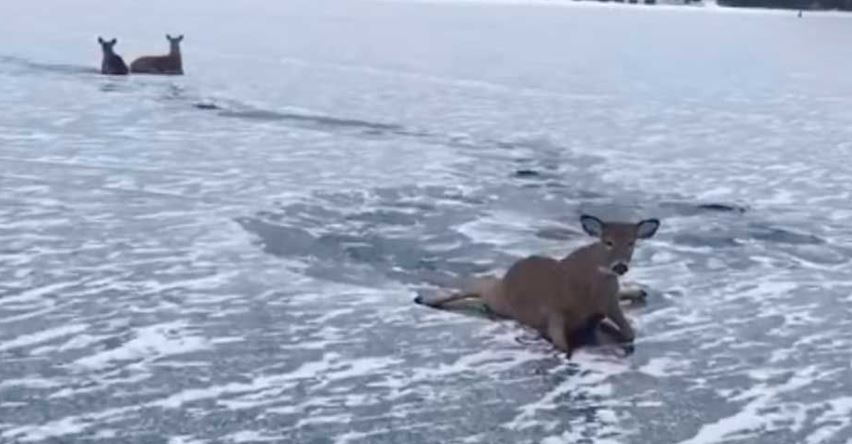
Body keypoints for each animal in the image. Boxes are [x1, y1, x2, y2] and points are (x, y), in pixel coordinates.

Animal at [412, 214, 660, 358]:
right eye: (607, 242)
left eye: (631, 243)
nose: (620, 266)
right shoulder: (555, 308)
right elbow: (562, 344)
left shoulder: (609, 304)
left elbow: (629, 333)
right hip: (500, 297)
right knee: (482, 284)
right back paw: (426, 298)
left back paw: (638, 290)